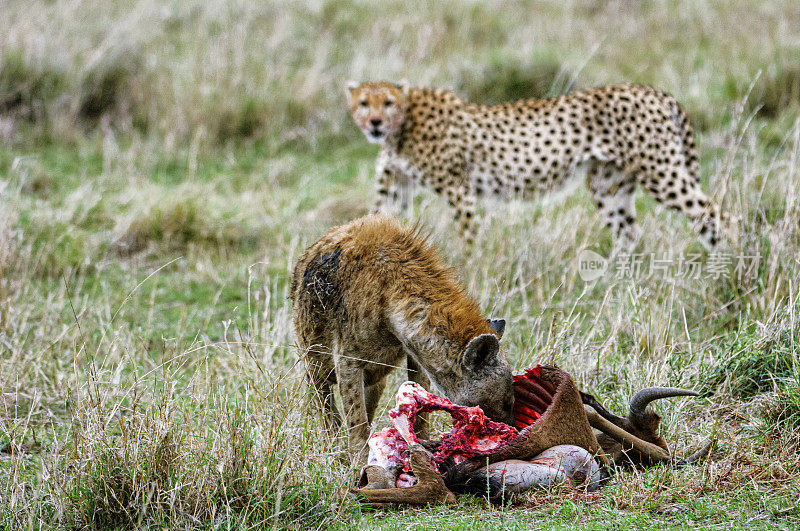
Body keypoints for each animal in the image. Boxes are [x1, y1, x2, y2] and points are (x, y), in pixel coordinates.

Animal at [290, 214, 516, 460]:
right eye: (506, 401)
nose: (513, 428)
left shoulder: (414, 351)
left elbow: (419, 402)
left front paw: (423, 445)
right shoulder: (347, 357)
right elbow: (355, 417)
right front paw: (359, 461)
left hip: (373, 375)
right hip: (312, 351)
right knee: (320, 392)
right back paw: (333, 441)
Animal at [346, 80, 732, 249]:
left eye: (388, 102)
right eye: (364, 103)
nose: (375, 123)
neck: (401, 128)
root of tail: (653, 90)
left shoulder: (459, 188)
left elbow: (468, 237)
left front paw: (472, 267)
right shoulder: (394, 189)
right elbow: (373, 226)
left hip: (661, 172)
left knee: (720, 217)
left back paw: (725, 271)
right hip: (607, 186)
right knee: (630, 235)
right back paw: (621, 284)